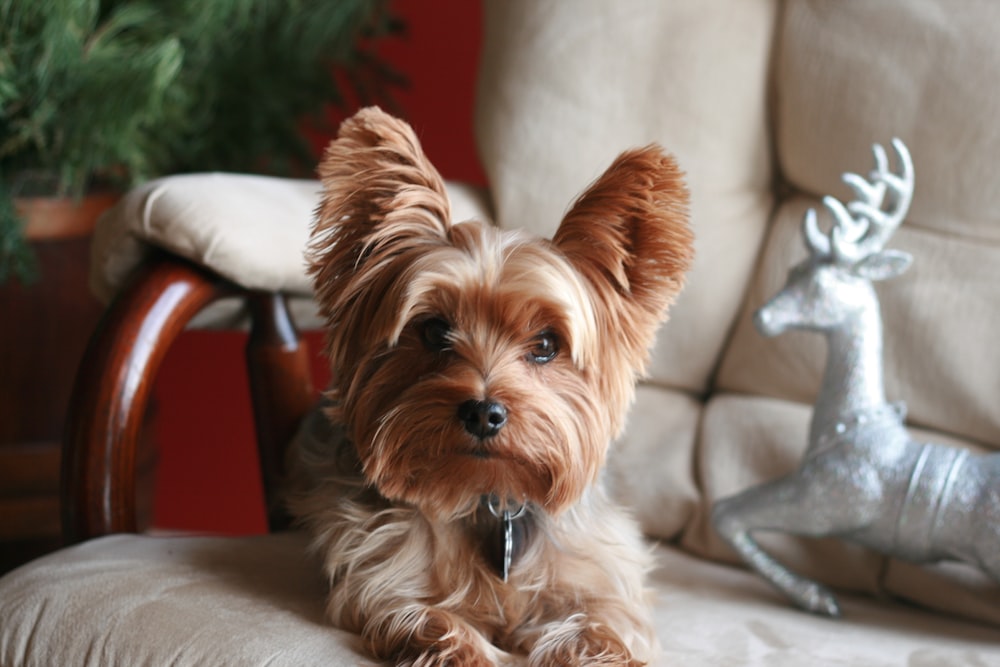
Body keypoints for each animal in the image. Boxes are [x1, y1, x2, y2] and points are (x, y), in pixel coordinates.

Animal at [290, 107, 692, 664]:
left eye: (545, 344)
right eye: (434, 330)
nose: (483, 412)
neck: (488, 497)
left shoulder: (602, 580)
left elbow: (601, 623)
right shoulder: (381, 574)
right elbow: (427, 616)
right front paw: (465, 649)